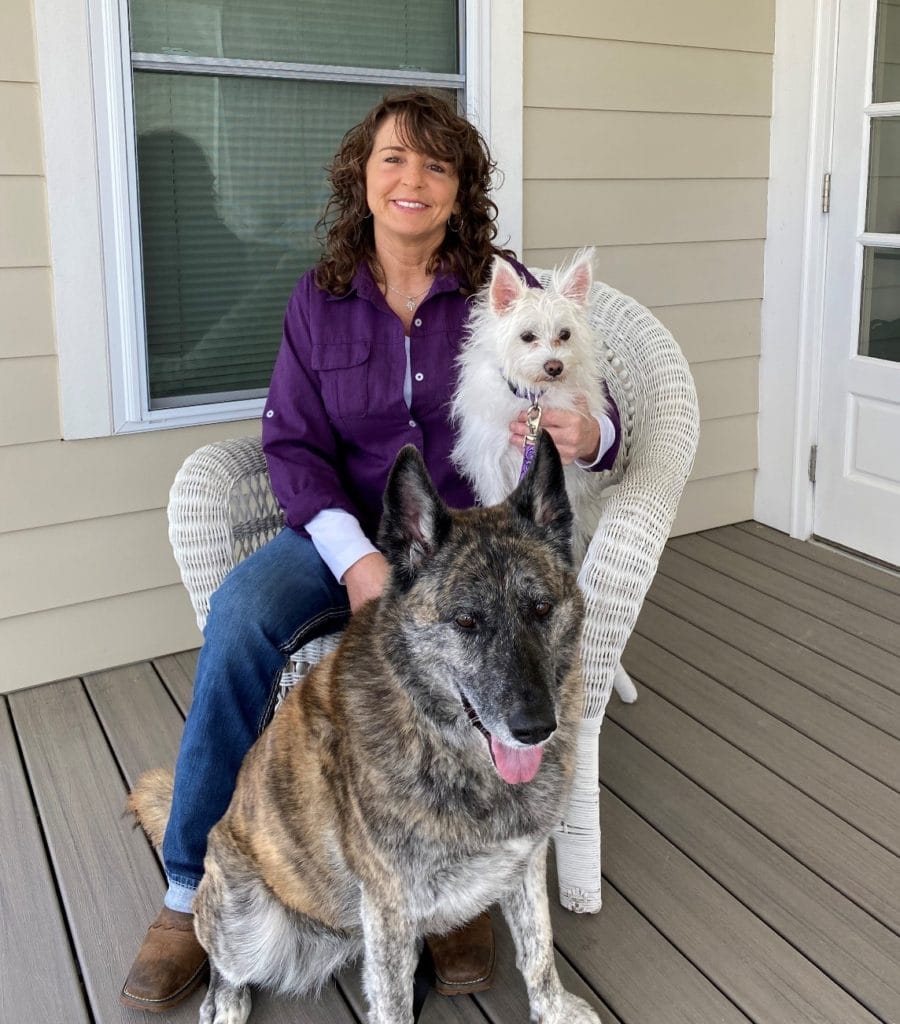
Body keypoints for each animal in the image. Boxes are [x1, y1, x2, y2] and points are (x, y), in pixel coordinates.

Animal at [128, 434, 606, 1024]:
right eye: (466, 621)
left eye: (540, 608)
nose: (536, 728)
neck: (439, 738)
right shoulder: (390, 908)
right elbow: (395, 1005)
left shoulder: (522, 861)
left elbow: (538, 948)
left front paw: (554, 1008)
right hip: (249, 919)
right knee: (223, 967)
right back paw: (225, 1004)